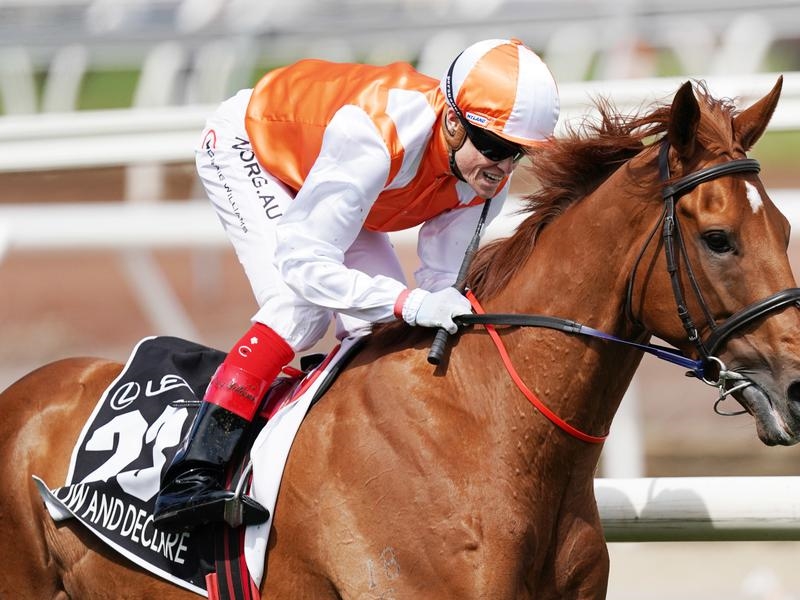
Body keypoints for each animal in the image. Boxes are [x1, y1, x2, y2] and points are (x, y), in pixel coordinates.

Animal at [2, 76, 799, 599]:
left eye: (785, 228)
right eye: (720, 239)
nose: (797, 388)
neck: (487, 432)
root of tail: (27, 392)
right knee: (294, 303)